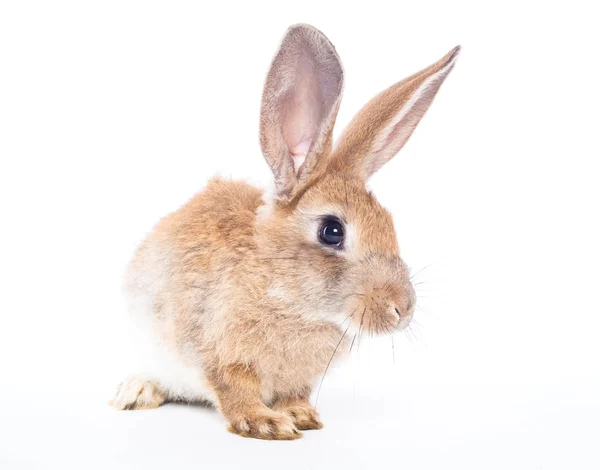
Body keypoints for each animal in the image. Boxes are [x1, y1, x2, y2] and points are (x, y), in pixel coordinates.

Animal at [110, 23, 460, 438]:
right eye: (332, 231)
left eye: (389, 222)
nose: (402, 309)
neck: (286, 294)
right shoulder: (219, 353)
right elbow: (235, 390)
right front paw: (266, 424)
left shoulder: (298, 377)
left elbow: (294, 392)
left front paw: (302, 416)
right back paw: (134, 394)